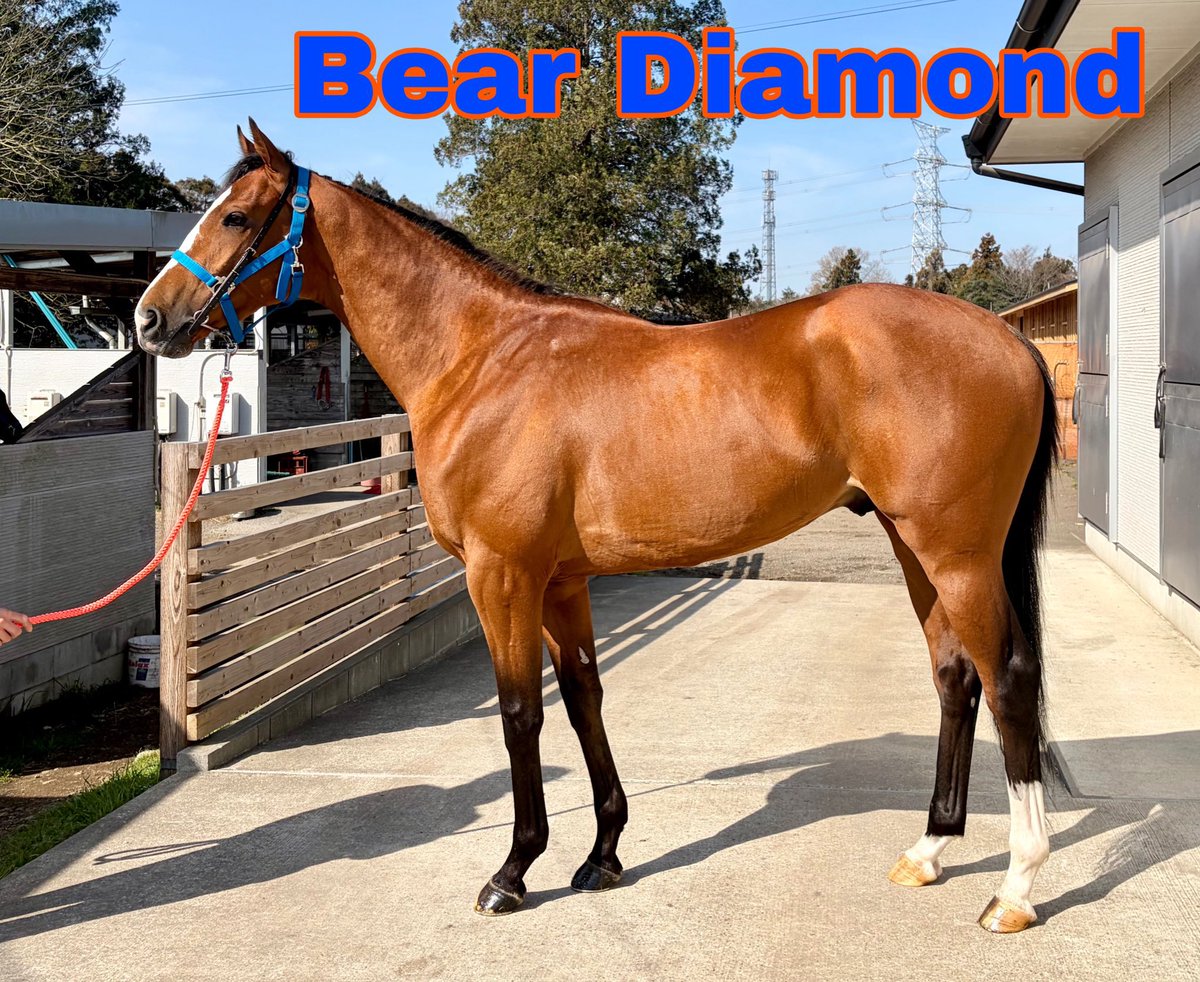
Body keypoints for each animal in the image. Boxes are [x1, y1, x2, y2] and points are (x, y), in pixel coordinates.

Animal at [135, 121, 1058, 934]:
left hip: (958, 554)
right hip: (916, 548)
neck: (481, 359)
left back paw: (1015, 888)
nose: (150, 319)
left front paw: (512, 872)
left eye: (236, 217)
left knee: (1007, 677)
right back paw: (930, 850)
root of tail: (1008, 339)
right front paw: (603, 855)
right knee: (955, 676)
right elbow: (583, 701)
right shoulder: (560, 581)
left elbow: (520, 713)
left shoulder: (501, 573)